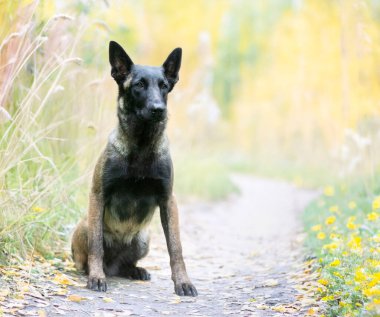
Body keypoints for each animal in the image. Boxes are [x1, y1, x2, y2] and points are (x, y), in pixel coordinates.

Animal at [71, 40, 197, 296]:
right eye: (139, 85)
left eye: (164, 86)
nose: (159, 109)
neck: (141, 145)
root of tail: (113, 265)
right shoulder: (98, 195)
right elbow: (96, 246)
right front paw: (96, 277)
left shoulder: (168, 200)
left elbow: (176, 248)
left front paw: (183, 282)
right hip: (85, 225)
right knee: (89, 254)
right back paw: (94, 271)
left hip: (143, 238)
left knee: (126, 264)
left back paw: (135, 270)